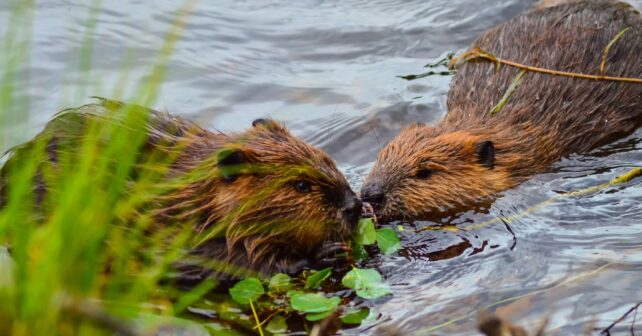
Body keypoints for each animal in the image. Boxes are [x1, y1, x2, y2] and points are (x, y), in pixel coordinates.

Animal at [0, 97, 360, 280]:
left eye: (327, 158)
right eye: (301, 185)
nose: (353, 207)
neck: (192, 196)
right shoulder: (168, 231)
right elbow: (220, 263)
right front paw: (325, 252)